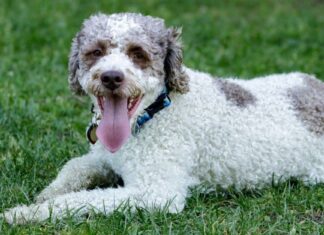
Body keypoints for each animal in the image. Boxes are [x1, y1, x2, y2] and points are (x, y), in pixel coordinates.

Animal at [2, 12, 324, 224]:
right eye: (96, 51)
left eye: (138, 53)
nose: (111, 77)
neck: (153, 115)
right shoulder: (102, 159)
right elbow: (73, 168)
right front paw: (44, 195)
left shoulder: (155, 191)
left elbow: (81, 199)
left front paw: (26, 212)